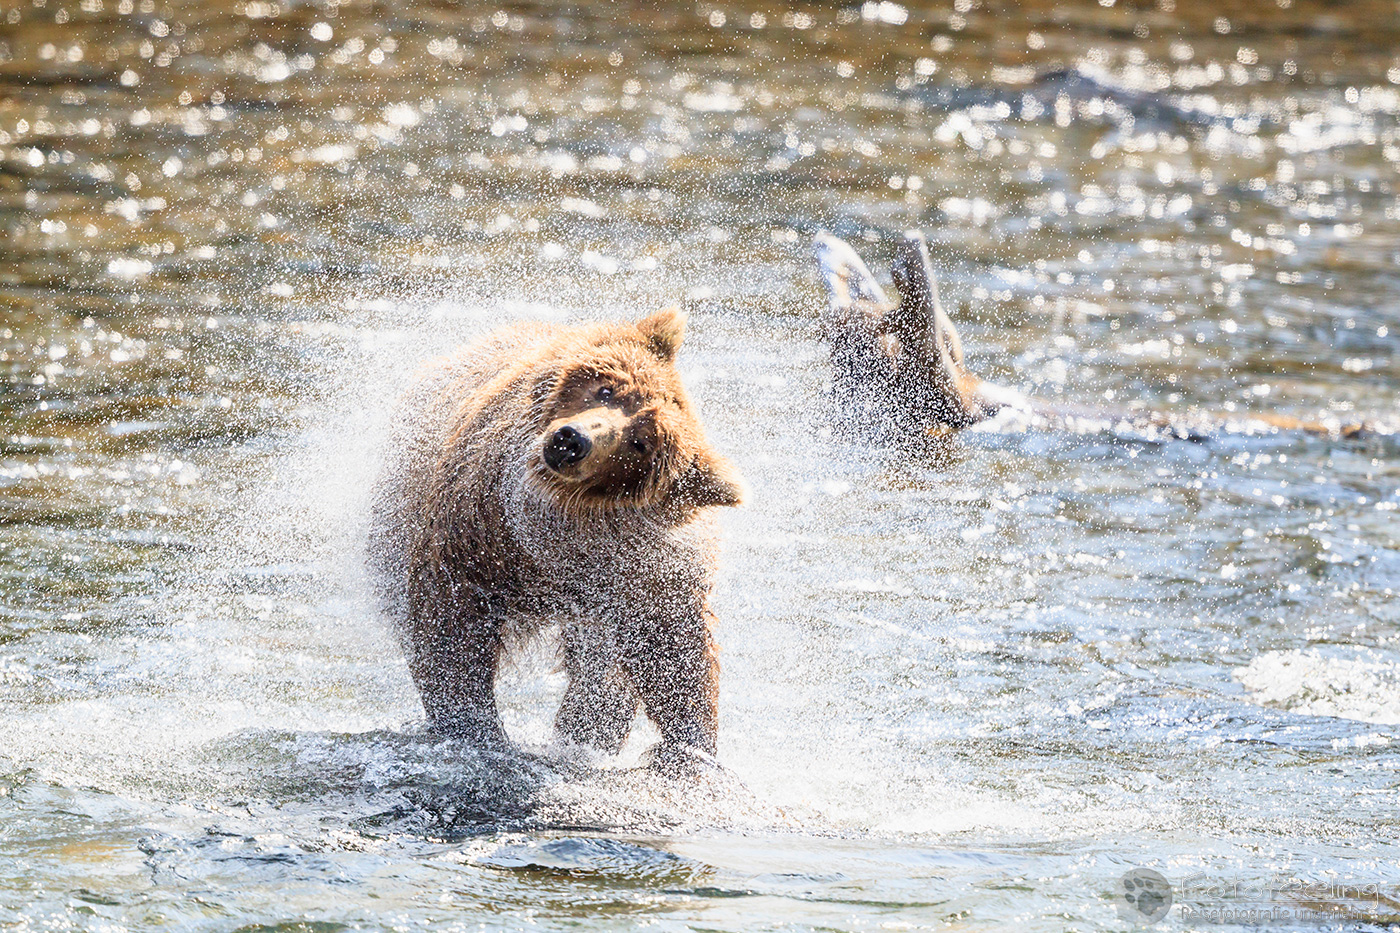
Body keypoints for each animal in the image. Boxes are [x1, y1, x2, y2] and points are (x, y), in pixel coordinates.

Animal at [367, 309, 744, 766]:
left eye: (641, 442)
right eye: (605, 389)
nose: (572, 441)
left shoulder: (644, 572)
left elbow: (673, 648)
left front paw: (692, 747)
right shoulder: (481, 527)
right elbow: (452, 614)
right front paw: (474, 725)